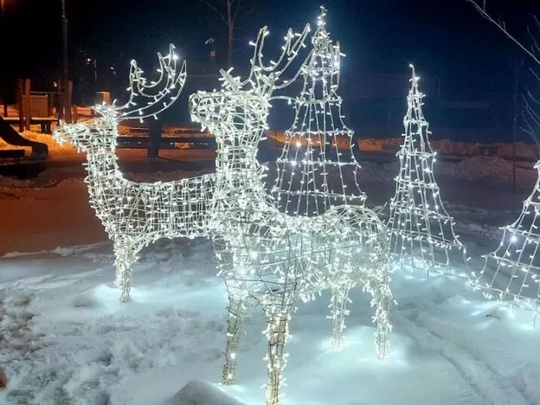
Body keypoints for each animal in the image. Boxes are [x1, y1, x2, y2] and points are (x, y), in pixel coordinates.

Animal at [54, 45, 215, 302]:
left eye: (93, 126)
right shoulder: (121, 238)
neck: (117, 192)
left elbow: (125, 275)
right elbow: (121, 274)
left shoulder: (127, 236)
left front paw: (124, 302)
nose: (59, 129)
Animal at [190, 26, 392, 404]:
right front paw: (226, 388)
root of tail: (372, 215)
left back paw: (382, 358)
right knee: (340, 301)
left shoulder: (279, 298)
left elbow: (274, 364)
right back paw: (337, 347)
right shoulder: (236, 294)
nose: (196, 98)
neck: (244, 228)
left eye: (239, 104)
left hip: (379, 272)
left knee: (384, 308)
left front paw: (270, 397)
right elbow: (230, 348)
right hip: (342, 272)